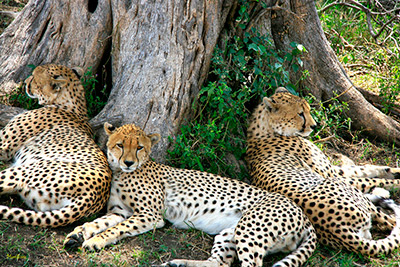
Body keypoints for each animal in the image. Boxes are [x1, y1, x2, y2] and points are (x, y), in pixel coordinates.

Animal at [64, 123, 318, 267]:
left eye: (139, 147)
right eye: (119, 145)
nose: (128, 162)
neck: (121, 173)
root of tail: (303, 215)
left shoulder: (150, 215)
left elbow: (117, 229)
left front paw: (95, 241)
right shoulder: (119, 211)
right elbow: (98, 222)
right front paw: (79, 234)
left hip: (250, 229)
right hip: (231, 232)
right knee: (219, 263)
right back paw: (179, 264)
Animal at [245, 87, 400, 256]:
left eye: (308, 109)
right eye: (300, 113)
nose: (314, 126)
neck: (266, 131)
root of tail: (337, 229)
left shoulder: (333, 170)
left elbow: (364, 169)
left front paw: (394, 170)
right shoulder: (331, 174)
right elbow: (369, 179)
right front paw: (396, 182)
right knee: (389, 220)